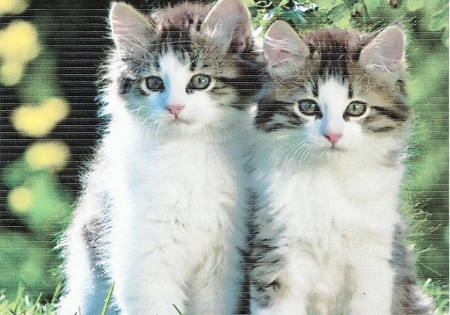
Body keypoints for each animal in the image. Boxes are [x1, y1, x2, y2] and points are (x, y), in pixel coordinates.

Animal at [55, 1, 264, 314]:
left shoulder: (224, 258)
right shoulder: (143, 254)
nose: (174, 107)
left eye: (200, 81)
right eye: (153, 83)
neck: (188, 150)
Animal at [250, 21, 436, 314]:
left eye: (356, 108)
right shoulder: (276, 258)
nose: (333, 135)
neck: (330, 178)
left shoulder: (375, 260)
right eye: (307, 106)